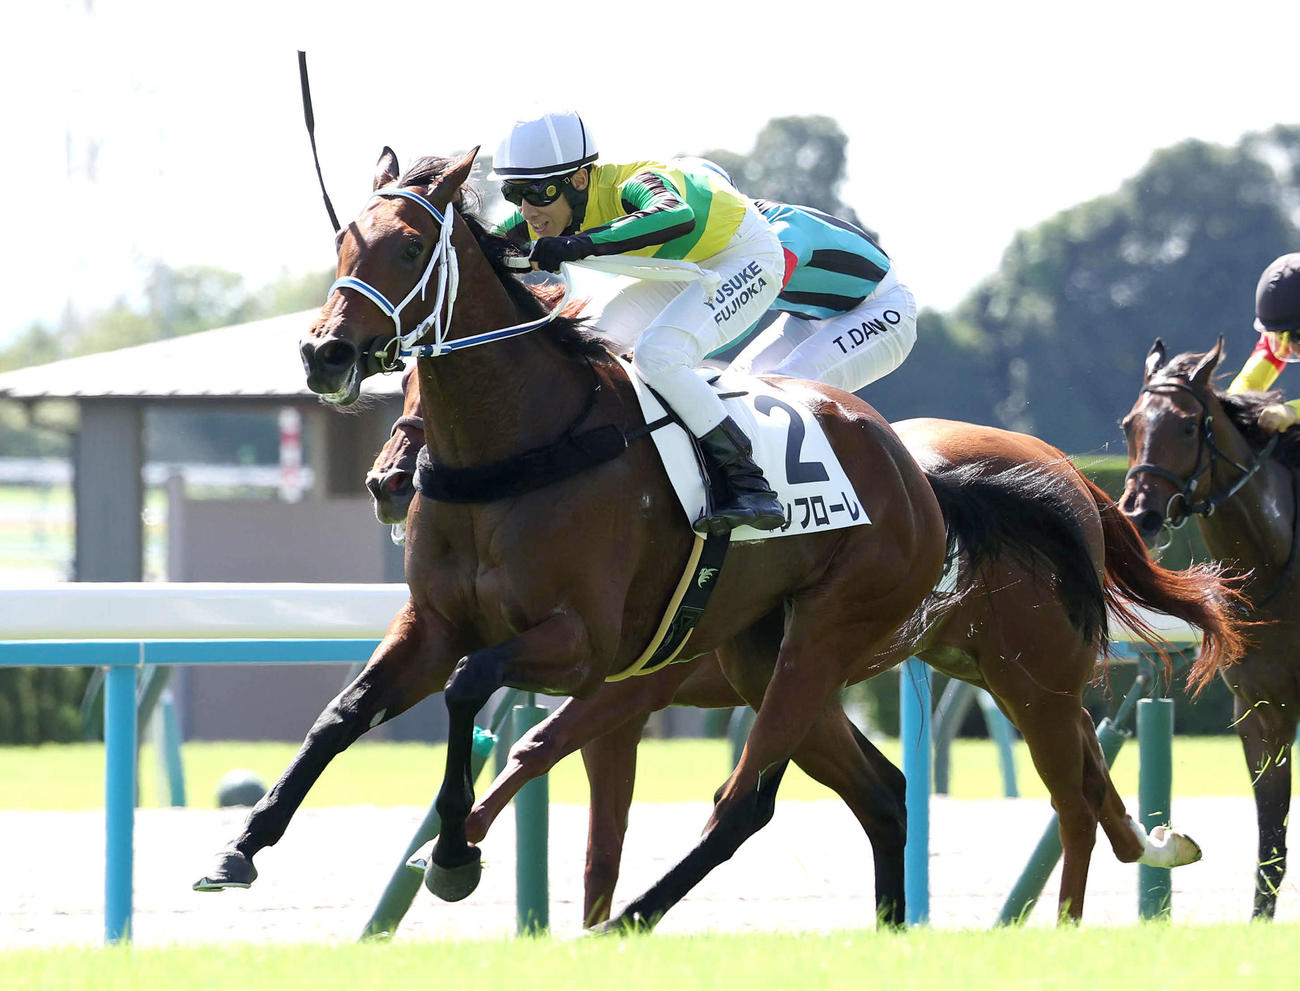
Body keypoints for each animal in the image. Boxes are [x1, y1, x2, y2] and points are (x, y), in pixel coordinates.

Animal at [369, 370, 1244, 923]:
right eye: (398, 383)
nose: (389, 481)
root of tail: (1074, 480)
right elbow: (587, 823)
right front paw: (460, 850)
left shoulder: (642, 678)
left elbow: (541, 748)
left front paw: (451, 849)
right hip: (959, 668)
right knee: (1077, 775)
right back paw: (1152, 846)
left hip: (1026, 677)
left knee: (1073, 796)